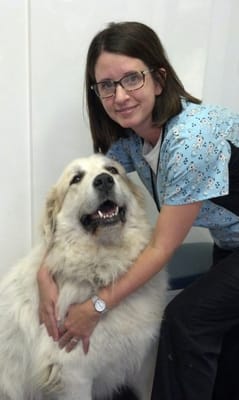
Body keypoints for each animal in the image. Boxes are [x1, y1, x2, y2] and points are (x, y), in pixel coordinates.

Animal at [0, 154, 166, 400]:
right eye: (76, 178)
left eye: (112, 170)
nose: (104, 181)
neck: (105, 273)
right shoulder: (73, 377)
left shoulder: (144, 363)